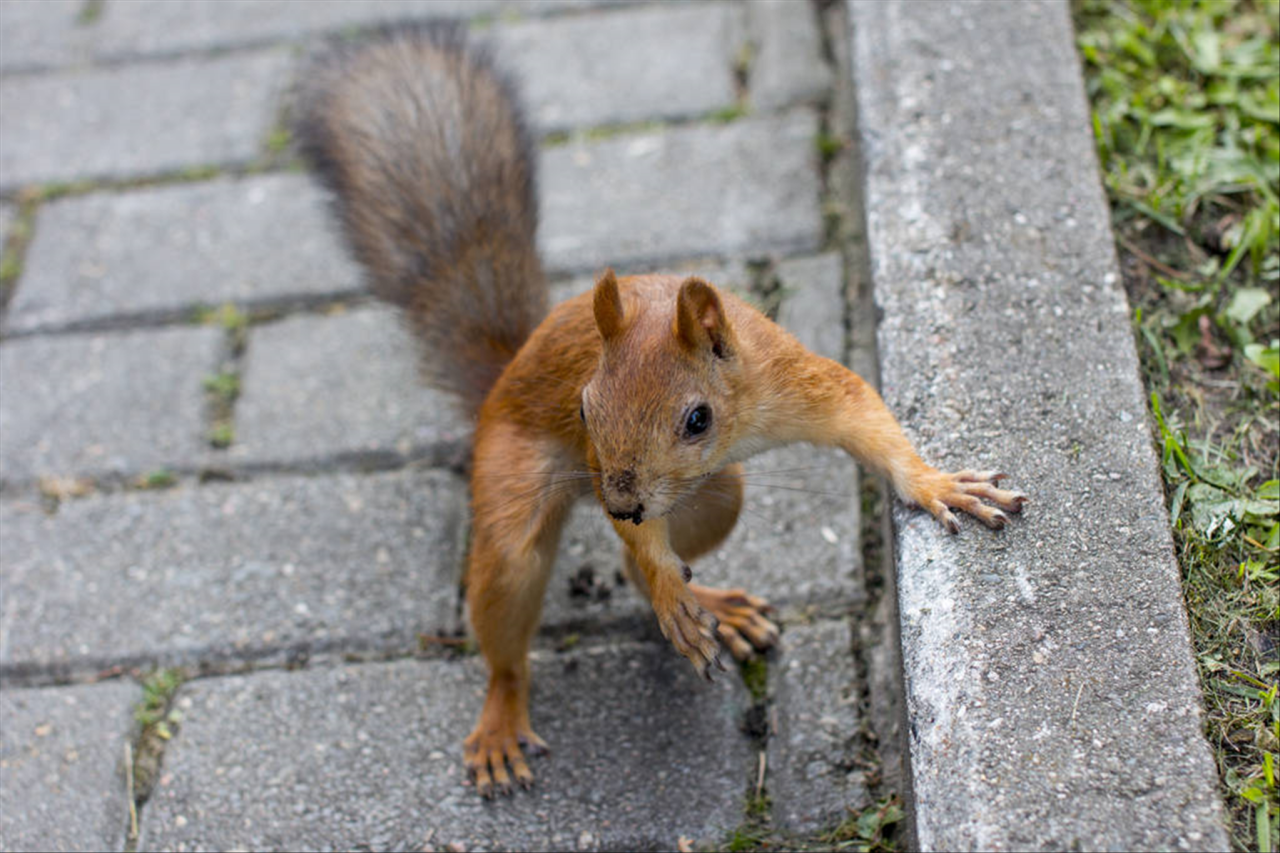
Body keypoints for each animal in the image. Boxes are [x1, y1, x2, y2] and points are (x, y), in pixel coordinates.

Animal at [294, 26, 1024, 799]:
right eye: (584, 408)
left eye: (697, 420)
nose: (621, 501)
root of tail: (501, 381)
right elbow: (646, 547)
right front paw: (670, 585)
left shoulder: (794, 381)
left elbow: (865, 415)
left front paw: (939, 485)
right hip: (513, 487)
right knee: (515, 616)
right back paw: (508, 712)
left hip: (719, 497)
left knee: (645, 550)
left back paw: (716, 606)